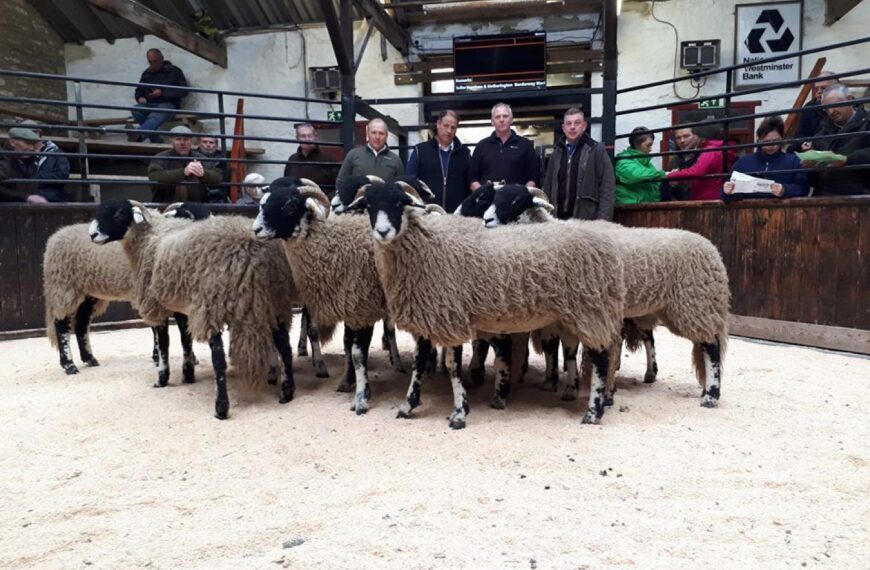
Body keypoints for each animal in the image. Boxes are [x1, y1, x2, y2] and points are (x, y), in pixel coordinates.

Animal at [43, 202, 210, 376]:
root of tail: (54, 238)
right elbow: (162, 329)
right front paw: (160, 358)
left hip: (88, 293)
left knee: (81, 323)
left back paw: (90, 359)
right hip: (64, 287)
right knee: (61, 324)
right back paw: (69, 365)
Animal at [89, 200, 302, 419]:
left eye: (118, 214)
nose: (92, 235)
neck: (148, 239)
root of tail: (251, 249)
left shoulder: (158, 305)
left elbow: (164, 344)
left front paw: (162, 379)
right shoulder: (183, 306)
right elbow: (185, 339)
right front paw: (188, 373)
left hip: (212, 305)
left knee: (218, 359)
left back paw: (221, 407)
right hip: (271, 302)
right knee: (285, 347)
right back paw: (287, 392)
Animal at [339, 180, 626, 427]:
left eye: (400, 203)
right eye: (369, 206)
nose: (383, 231)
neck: (427, 248)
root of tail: (604, 245)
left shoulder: (451, 318)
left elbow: (453, 368)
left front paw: (459, 412)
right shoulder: (429, 318)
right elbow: (419, 365)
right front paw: (408, 406)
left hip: (590, 310)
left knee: (601, 358)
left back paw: (593, 412)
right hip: (576, 315)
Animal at [484, 184, 729, 408]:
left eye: (516, 200)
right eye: (493, 196)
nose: (486, 220)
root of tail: (711, 249)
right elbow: (558, 348)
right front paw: (559, 384)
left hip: (695, 304)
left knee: (711, 347)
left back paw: (710, 396)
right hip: (664, 309)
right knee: (658, 339)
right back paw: (658, 376)